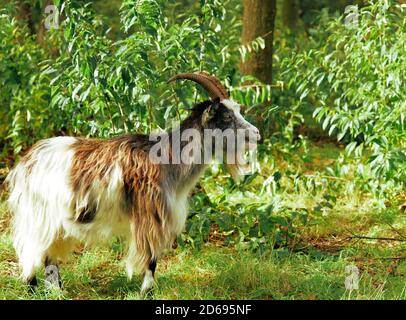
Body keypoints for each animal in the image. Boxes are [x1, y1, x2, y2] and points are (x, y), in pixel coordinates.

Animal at [5, 72, 260, 296]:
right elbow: (151, 259)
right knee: (30, 252)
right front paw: (147, 291)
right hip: (38, 216)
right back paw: (33, 289)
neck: (167, 160)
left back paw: (56, 291)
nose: (257, 134)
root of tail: (25, 163)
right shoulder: (150, 216)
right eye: (226, 117)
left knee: (49, 256)